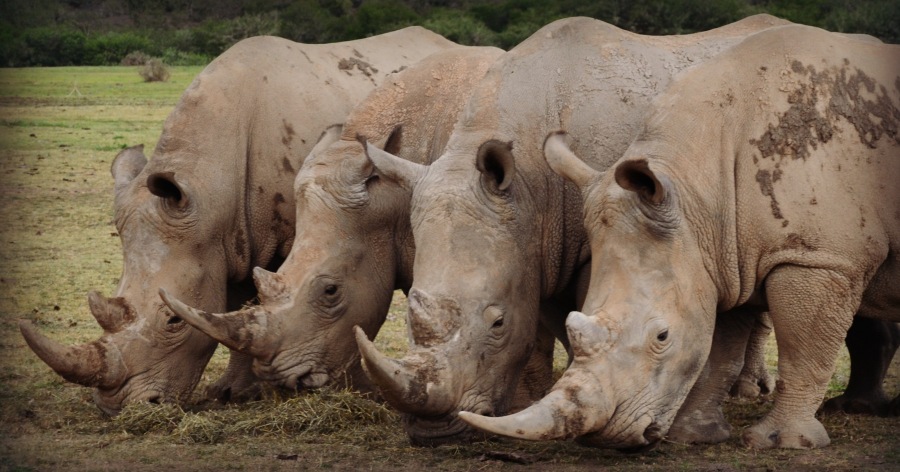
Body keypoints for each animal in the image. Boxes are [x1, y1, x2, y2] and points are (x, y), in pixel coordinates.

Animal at [18, 29, 457, 416]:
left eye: (173, 321)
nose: (117, 408)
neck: (209, 187)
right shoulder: (228, 239)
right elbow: (240, 304)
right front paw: (233, 393)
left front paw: (350, 391)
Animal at [352, 15, 794, 445]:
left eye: (497, 323)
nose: (433, 433)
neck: (529, 186)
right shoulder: (544, 247)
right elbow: (546, 324)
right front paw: (528, 407)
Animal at [459, 24, 900, 449]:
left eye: (662, 336)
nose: (607, 438)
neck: (699, 190)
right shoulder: (727, 257)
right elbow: (719, 350)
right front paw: (694, 436)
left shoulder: (820, 257)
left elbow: (803, 351)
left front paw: (781, 443)